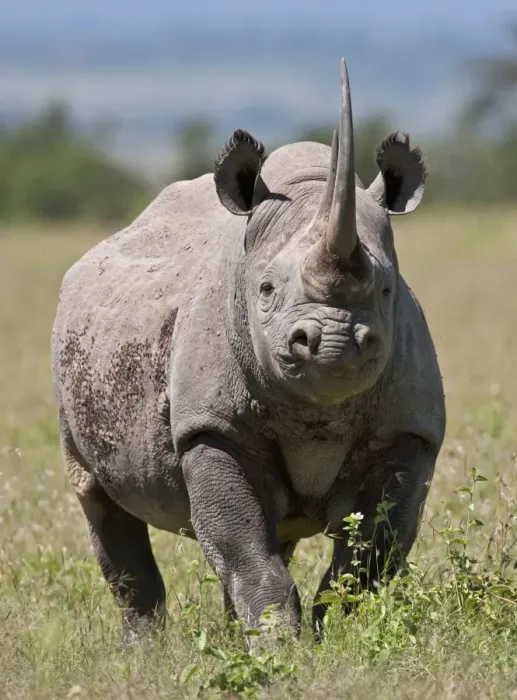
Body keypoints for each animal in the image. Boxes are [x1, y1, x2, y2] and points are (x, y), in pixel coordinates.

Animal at [51, 59, 445, 641]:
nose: (333, 344)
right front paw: (279, 647)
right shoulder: (210, 425)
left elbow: (370, 555)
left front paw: (334, 637)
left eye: (387, 290)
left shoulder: (409, 429)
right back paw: (143, 649)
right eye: (265, 290)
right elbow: (242, 547)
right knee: (99, 500)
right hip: (72, 353)